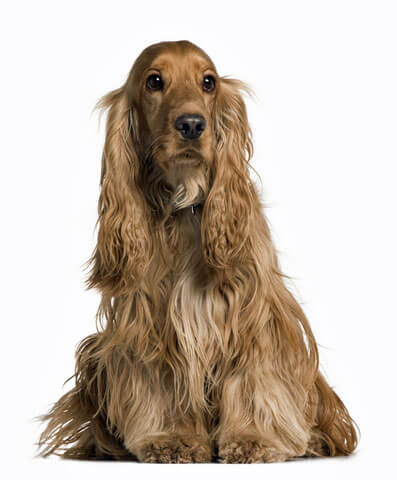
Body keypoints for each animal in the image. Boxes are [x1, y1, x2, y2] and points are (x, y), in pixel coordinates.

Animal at [38, 40, 358, 462]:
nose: (191, 124)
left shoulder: (254, 314)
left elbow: (255, 379)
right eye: (154, 81)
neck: (184, 204)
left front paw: (254, 438)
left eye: (208, 82)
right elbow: (161, 382)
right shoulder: (149, 322)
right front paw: (170, 437)